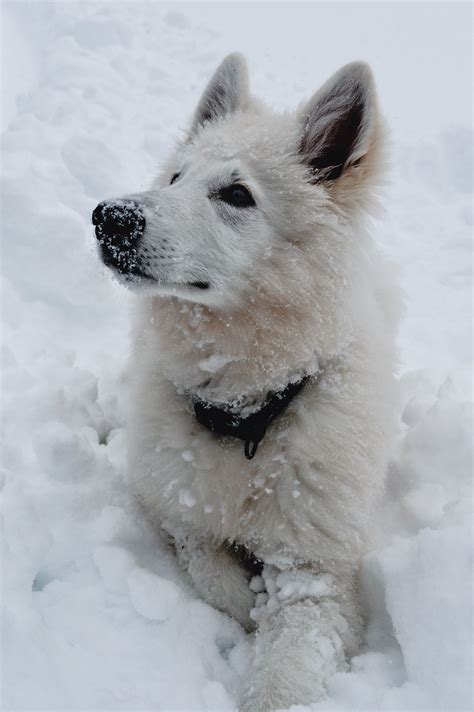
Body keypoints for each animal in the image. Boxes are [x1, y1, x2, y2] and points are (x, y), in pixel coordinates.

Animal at [92, 55, 400, 712]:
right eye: (175, 177)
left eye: (237, 194)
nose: (109, 217)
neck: (247, 414)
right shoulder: (177, 509)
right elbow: (213, 575)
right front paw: (249, 607)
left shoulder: (318, 573)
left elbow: (287, 674)